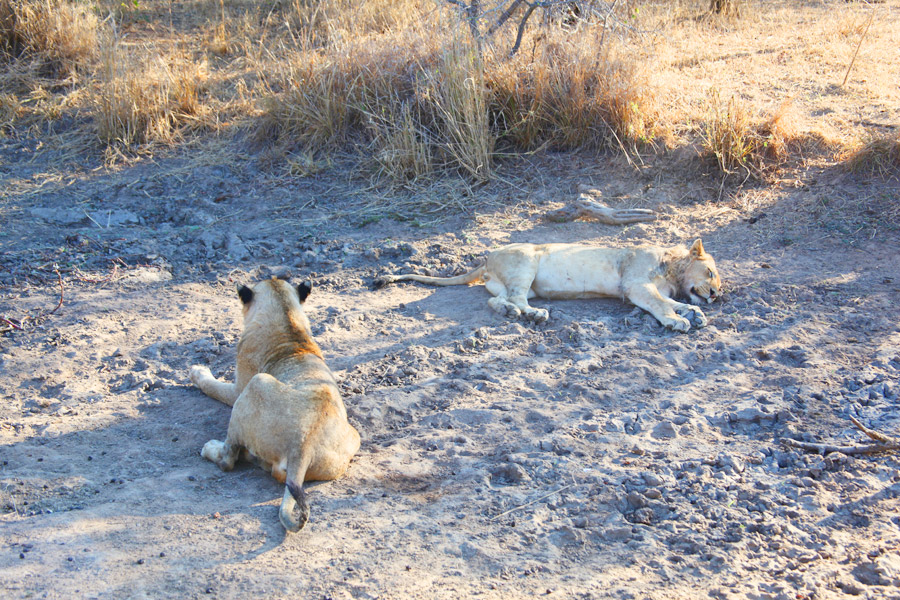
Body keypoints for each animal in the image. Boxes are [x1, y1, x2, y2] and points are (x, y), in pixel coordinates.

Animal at [192, 276, 360, 528]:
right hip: (354, 438)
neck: (286, 319)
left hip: (255, 385)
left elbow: (213, 385)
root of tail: (302, 448)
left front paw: (197, 372)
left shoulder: (238, 388)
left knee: (228, 459)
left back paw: (211, 448)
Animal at [376, 239, 720, 332]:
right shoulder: (635, 285)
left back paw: (513, 314)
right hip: (526, 261)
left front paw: (694, 313)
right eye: (711, 273)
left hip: (514, 285)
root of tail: (487, 258)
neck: (673, 271)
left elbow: (676, 302)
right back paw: (534, 315)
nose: (717, 295)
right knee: (516, 298)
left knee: (496, 301)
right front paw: (678, 321)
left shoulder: (653, 289)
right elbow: (662, 305)